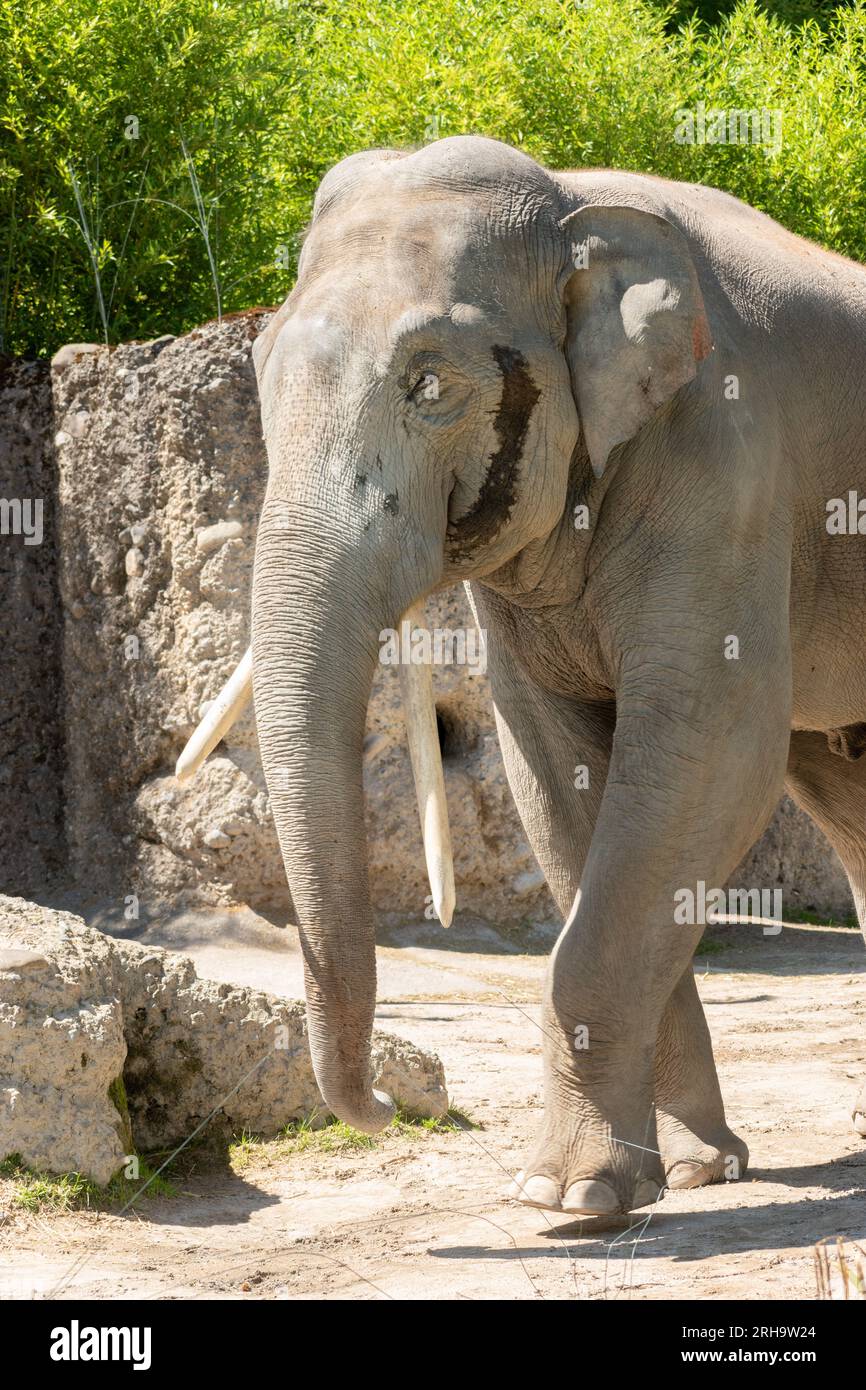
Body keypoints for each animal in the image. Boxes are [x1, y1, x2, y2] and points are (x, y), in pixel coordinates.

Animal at [177, 135, 866, 1217]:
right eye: (261, 373)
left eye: (428, 384)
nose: (384, 1106)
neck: (571, 201)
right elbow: (558, 773)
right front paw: (675, 1174)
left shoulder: (727, 463)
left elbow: (706, 757)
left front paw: (565, 1196)